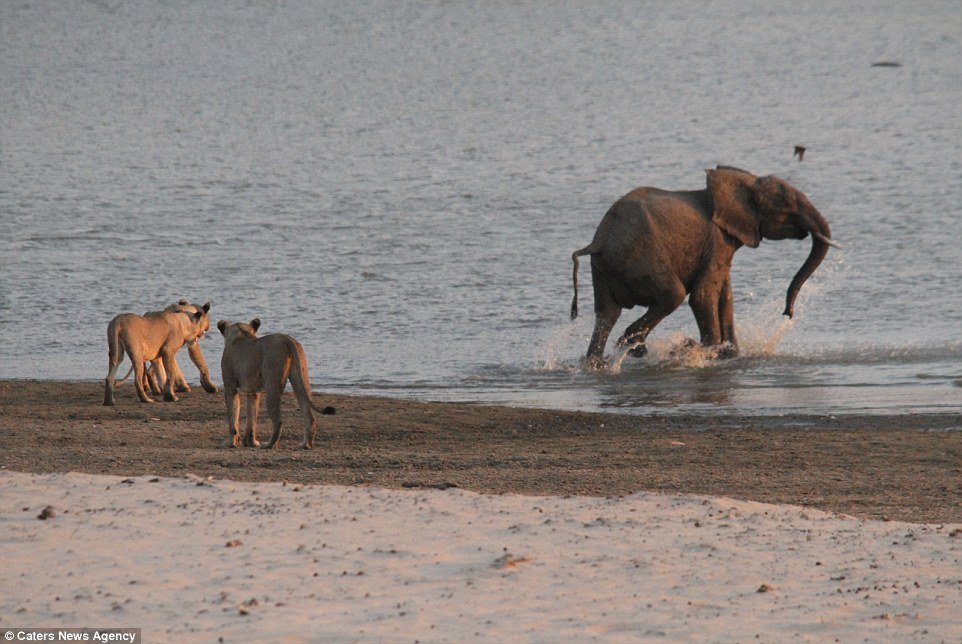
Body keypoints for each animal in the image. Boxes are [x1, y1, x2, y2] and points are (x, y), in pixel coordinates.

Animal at [568, 166, 832, 368]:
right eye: (787, 204)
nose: (788, 313)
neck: (742, 182)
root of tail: (598, 242)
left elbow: (725, 296)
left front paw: (729, 353)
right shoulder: (717, 240)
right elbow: (703, 295)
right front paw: (706, 352)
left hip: (603, 269)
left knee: (606, 314)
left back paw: (597, 363)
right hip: (639, 259)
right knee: (672, 295)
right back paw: (633, 347)